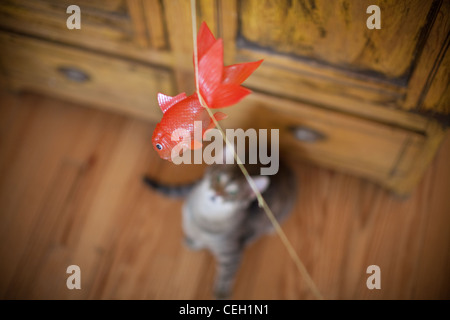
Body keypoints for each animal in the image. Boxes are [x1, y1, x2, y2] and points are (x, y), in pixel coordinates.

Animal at [144, 149, 298, 298]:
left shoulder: (232, 253)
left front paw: (221, 292)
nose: (216, 194)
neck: (204, 217)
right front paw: (195, 242)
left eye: (233, 192)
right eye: (218, 179)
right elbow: (199, 239)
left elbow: (226, 274)